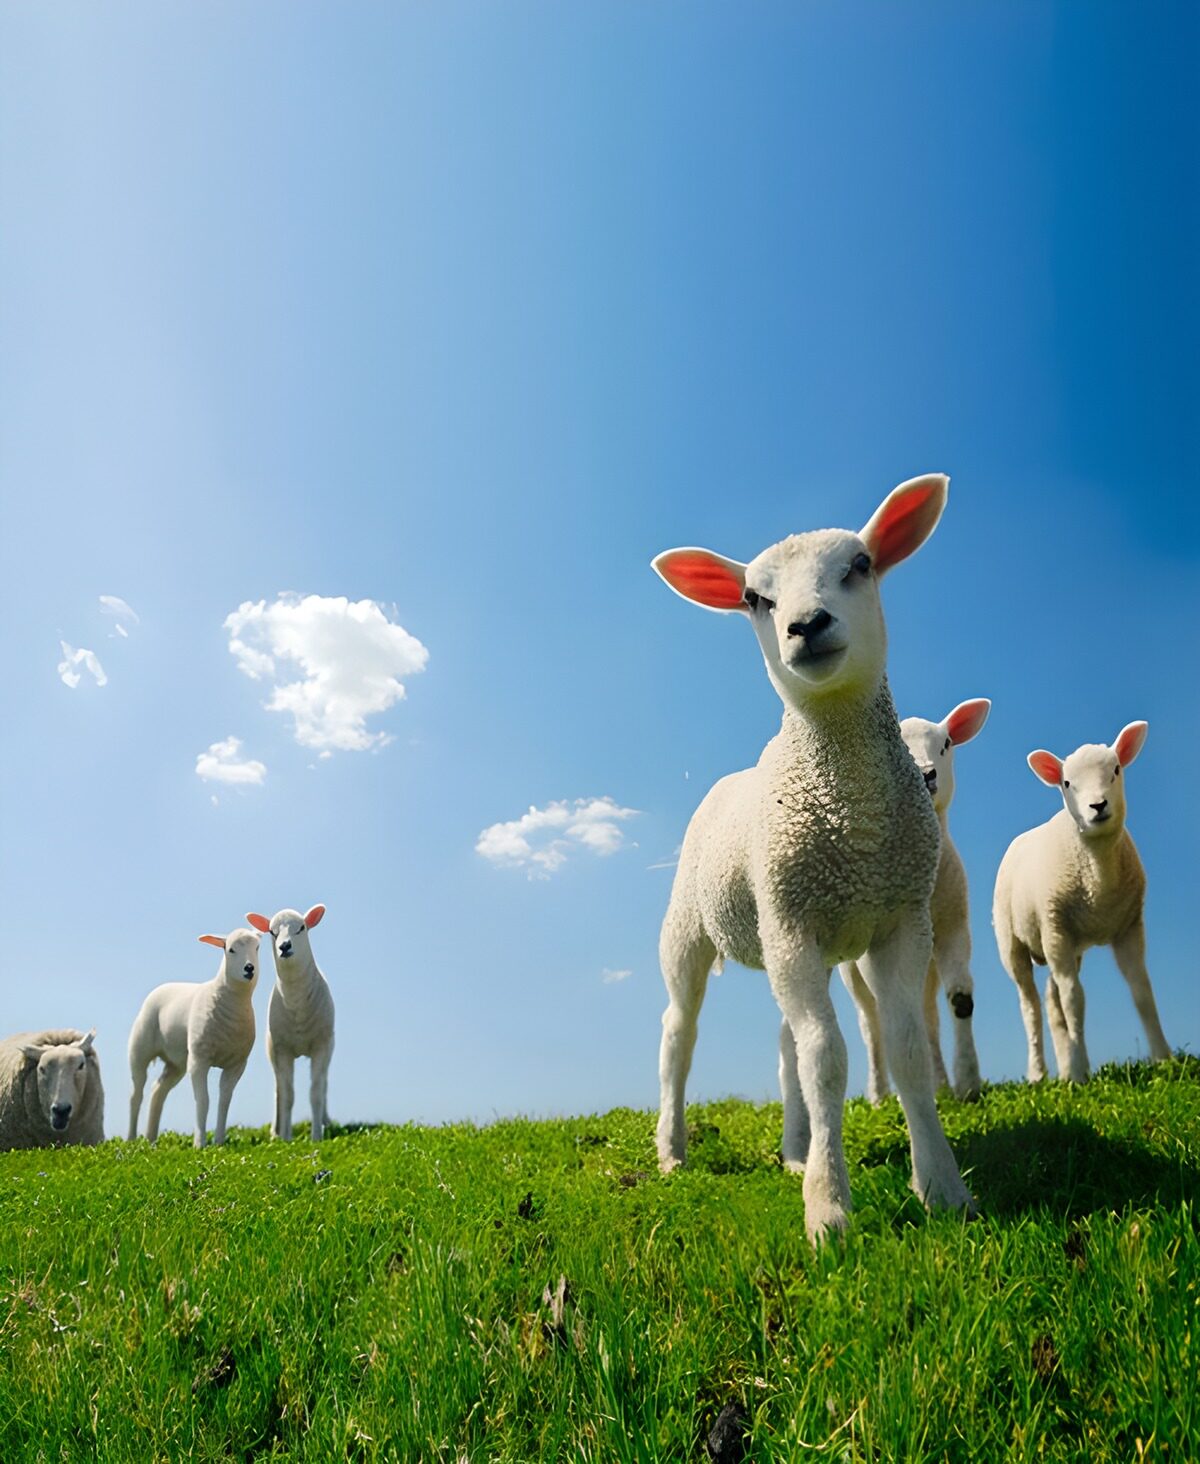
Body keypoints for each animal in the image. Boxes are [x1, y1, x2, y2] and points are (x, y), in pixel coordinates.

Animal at [127, 928, 260, 1148]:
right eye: (230, 949)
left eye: (257, 947)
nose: (249, 968)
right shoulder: (199, 1060)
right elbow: (203, 1100)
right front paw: (200, 1144)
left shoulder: (237, 1065)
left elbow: (224, 1102)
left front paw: (219, 1142)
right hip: (140, 1051)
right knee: (136, 1095)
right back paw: (131, 1139)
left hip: (176, 1063)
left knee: (158, 1091)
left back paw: (151, 1139)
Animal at [246, 905, 335, 1142]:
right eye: (271, 931)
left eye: (301, 928)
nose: (284, 946)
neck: (296, 1003)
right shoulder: (282, 1050)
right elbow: (287, 1095)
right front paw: (285, 1138)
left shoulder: (321, 1045)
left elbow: (315, 1093)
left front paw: (316, 1136)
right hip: (273, 1052)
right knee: (278, 1090)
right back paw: (276, 1131)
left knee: (324, 1084)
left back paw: (326, 1122)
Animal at [651, 472, 974, 1242]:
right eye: (753, 598)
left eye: (860, 565)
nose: (806, 625)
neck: (853, 821)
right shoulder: (793, 922)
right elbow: (827, 1060)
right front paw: (829, 1210)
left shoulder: (898, 921)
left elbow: (906, 1051)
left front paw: (942, 1186)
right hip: (696, 928)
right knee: (679, 1035)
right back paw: (672, 1151)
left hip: (795, 937)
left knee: (785, 1044)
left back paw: (796, 1149)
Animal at [840, 698, 991, 1103]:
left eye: (947, 744)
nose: (925, 775)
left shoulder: (955, 927)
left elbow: (960, 1000)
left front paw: (968, 1083)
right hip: (851, 970)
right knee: (870, 1021)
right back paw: (879, 1094)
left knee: (926, 1015)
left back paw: (939, 1083)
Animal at [992, 721, 1169, 1083]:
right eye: (1067, 783)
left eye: (1116, 770)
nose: (1097, 806)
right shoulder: (1055, 926)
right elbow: (1075, 1000)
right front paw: (1080, 1071)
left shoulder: (1129, 926)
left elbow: (1142, 990)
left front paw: (1164, 1058)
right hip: (1014, 941)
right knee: (1030, 1005)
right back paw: (1040, 1073)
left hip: (1063, 944)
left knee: (1051, 1000)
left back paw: (1063, 1068)